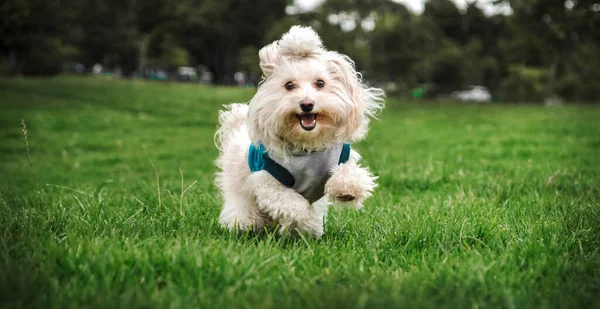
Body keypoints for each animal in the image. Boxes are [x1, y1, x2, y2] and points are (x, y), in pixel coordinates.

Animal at [216, 25, 384, 236]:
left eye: (320, 83)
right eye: (289, 85)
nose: (306, 104)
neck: (307, 145)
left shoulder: (339, 158)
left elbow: (348, 173)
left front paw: (347, 190)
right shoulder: (267, 178)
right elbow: (292, 204)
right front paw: (305, 217)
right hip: (238, 188)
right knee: (243, 209)